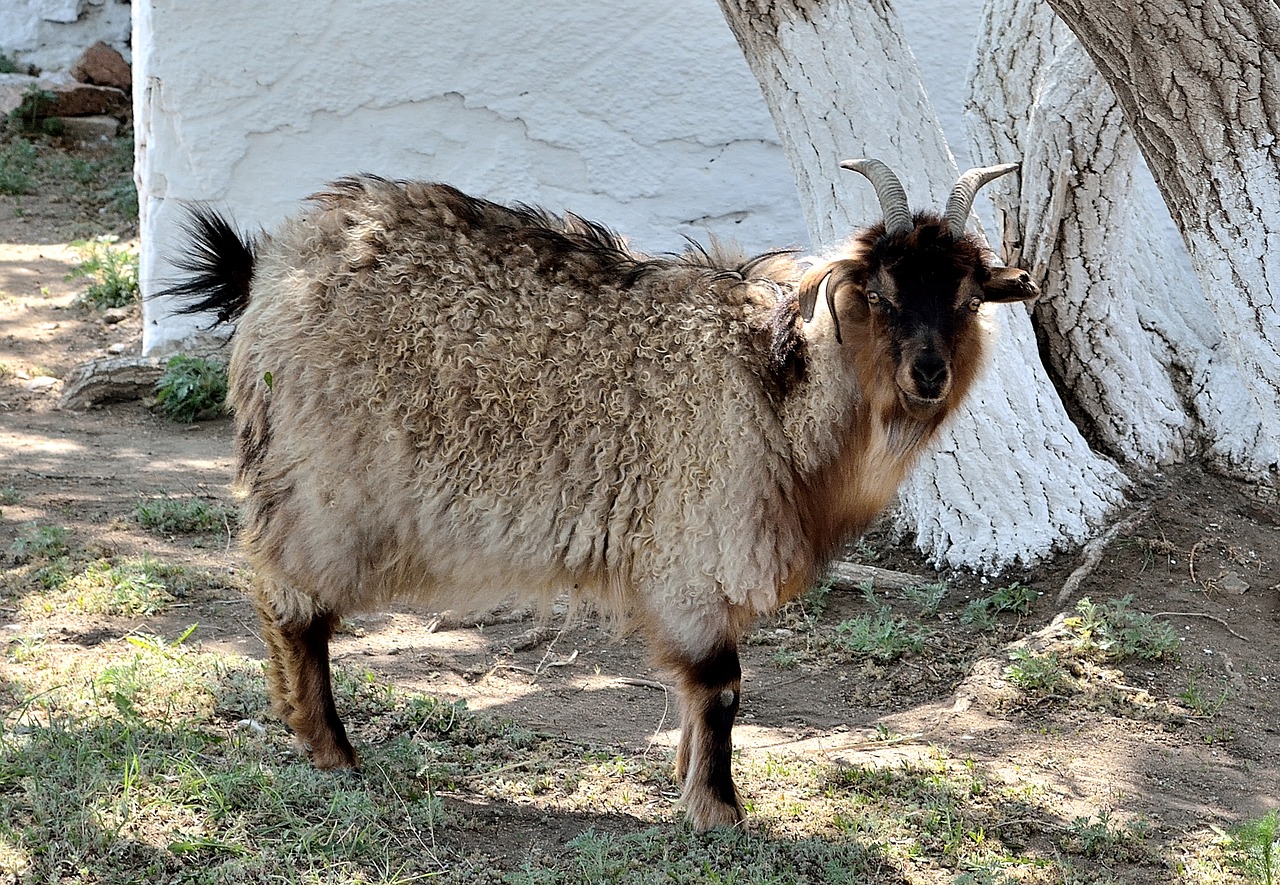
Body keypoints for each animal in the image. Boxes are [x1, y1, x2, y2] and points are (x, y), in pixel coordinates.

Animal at [160, 157, 1039, 829]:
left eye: (968, 298)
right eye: (881, 293)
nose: (928, 373)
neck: (777, 383)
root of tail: (274, 263)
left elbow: (696, 690)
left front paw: (689, 778)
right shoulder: (694, 542)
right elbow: (720, 683)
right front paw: (718, 808)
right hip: (323, 482)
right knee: (293, 605)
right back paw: (331, 748)